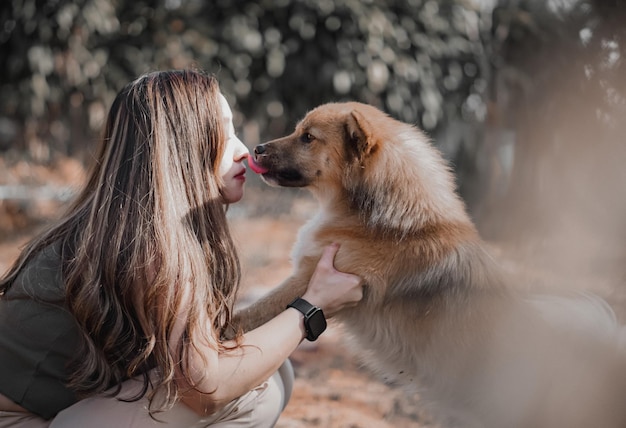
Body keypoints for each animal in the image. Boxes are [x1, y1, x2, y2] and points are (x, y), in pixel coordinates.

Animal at [235, 102, 624, 426]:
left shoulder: (309, 280)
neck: (376, 219)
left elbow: (256, 311)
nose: (257, 149)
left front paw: (228, 329)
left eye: (308, 137)